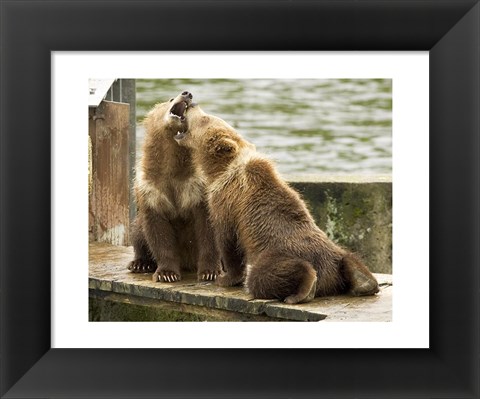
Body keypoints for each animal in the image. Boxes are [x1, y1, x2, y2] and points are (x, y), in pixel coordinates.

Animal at [125, 92, 219, 282]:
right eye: (169, 99)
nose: (187, 93)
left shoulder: (197, 187)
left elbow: (207, 230)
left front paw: (209, 271)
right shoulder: (151, 188)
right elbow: (158, 232)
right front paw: (166, 273)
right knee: (137, 231)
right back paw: (139, 263)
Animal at [172, 95, 378, 304]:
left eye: (206, 118)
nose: (192, 103)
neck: (219, 170)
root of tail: (329, 277)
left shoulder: (226, 201)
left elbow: (228, 240)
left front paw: (225, 278)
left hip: (273, 253)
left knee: (263, 276)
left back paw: (305, 286)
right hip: (334, 252)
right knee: (350, 257)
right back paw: (364, 283)